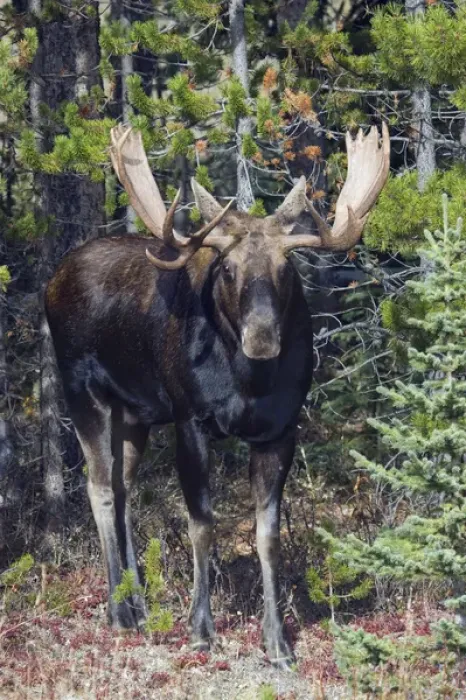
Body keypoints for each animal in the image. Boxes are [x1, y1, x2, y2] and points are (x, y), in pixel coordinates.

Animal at [45, 123, 389, 667]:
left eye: (286, 267)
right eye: (227, 268)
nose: (262, 337)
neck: (248, 384)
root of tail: (53, 280)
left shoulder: (280, 430)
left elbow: (268, 535)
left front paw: (277, 641)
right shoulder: (191, 419)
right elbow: (202, 524)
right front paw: (201, 630)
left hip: (135, 415)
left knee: (123, 491)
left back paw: (139, 604)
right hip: (82, 391)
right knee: (98, 487)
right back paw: (118, 613)